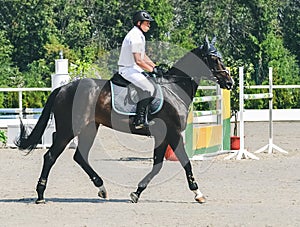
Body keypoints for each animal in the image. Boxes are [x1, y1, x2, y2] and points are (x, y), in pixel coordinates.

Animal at [15, 37, 233, 204]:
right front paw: (198, 194)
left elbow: (157, 165)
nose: (229, 82)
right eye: (214, 59)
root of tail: (63, 88)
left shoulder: (163, 136)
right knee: (50, 156)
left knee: (79, 156)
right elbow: (186, 163)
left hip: (90, 128)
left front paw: (136, 193)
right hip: (68, 130)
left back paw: (101, 188)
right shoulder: (173, 133)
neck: (174, 88)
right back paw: (40, 195)